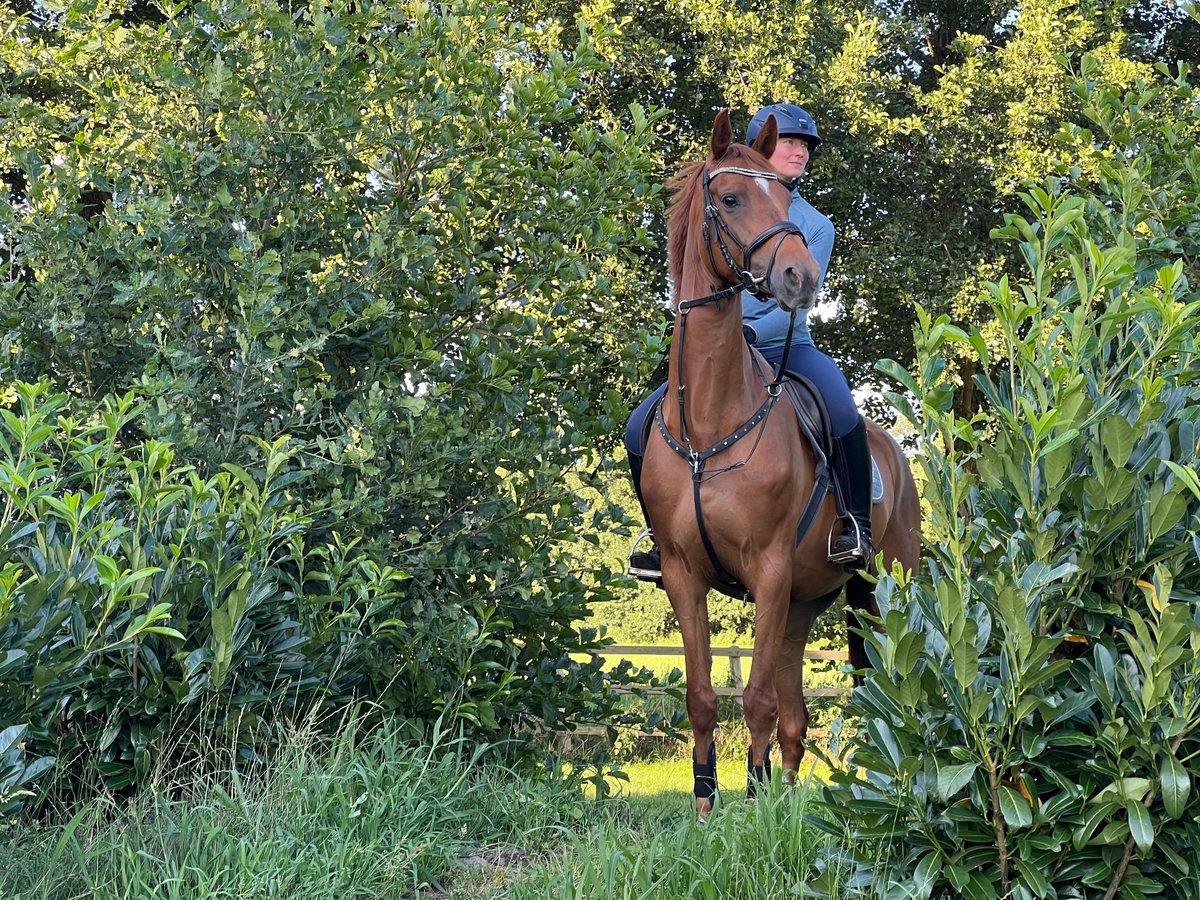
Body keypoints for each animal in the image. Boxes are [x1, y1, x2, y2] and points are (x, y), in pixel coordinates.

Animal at [648, 111, 916, 816]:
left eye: (784, 198)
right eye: (731, 198)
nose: (802, 276)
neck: (712, 423)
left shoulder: (766, 570)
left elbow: (758, 700)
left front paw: (751, 806)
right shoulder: (684, 574)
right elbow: (705, 696)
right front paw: (708, 803)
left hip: (882, 587)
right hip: (804, 602)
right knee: (798, 717)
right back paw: (791, 796)